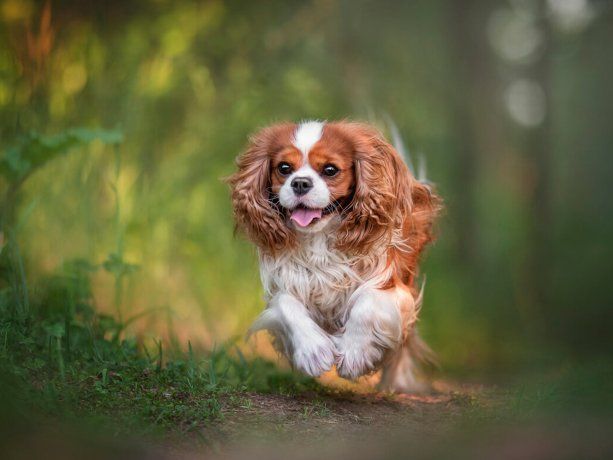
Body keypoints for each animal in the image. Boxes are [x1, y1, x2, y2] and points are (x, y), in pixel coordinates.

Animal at [230, 119, 440, 392]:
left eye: (330, 170)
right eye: (284, 168)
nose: (300, 183)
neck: (320, 239)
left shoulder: (393, 288)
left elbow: (367, 303)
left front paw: (354, 354)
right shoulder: (284, 284)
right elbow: (286, 304)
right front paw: (313, 351)